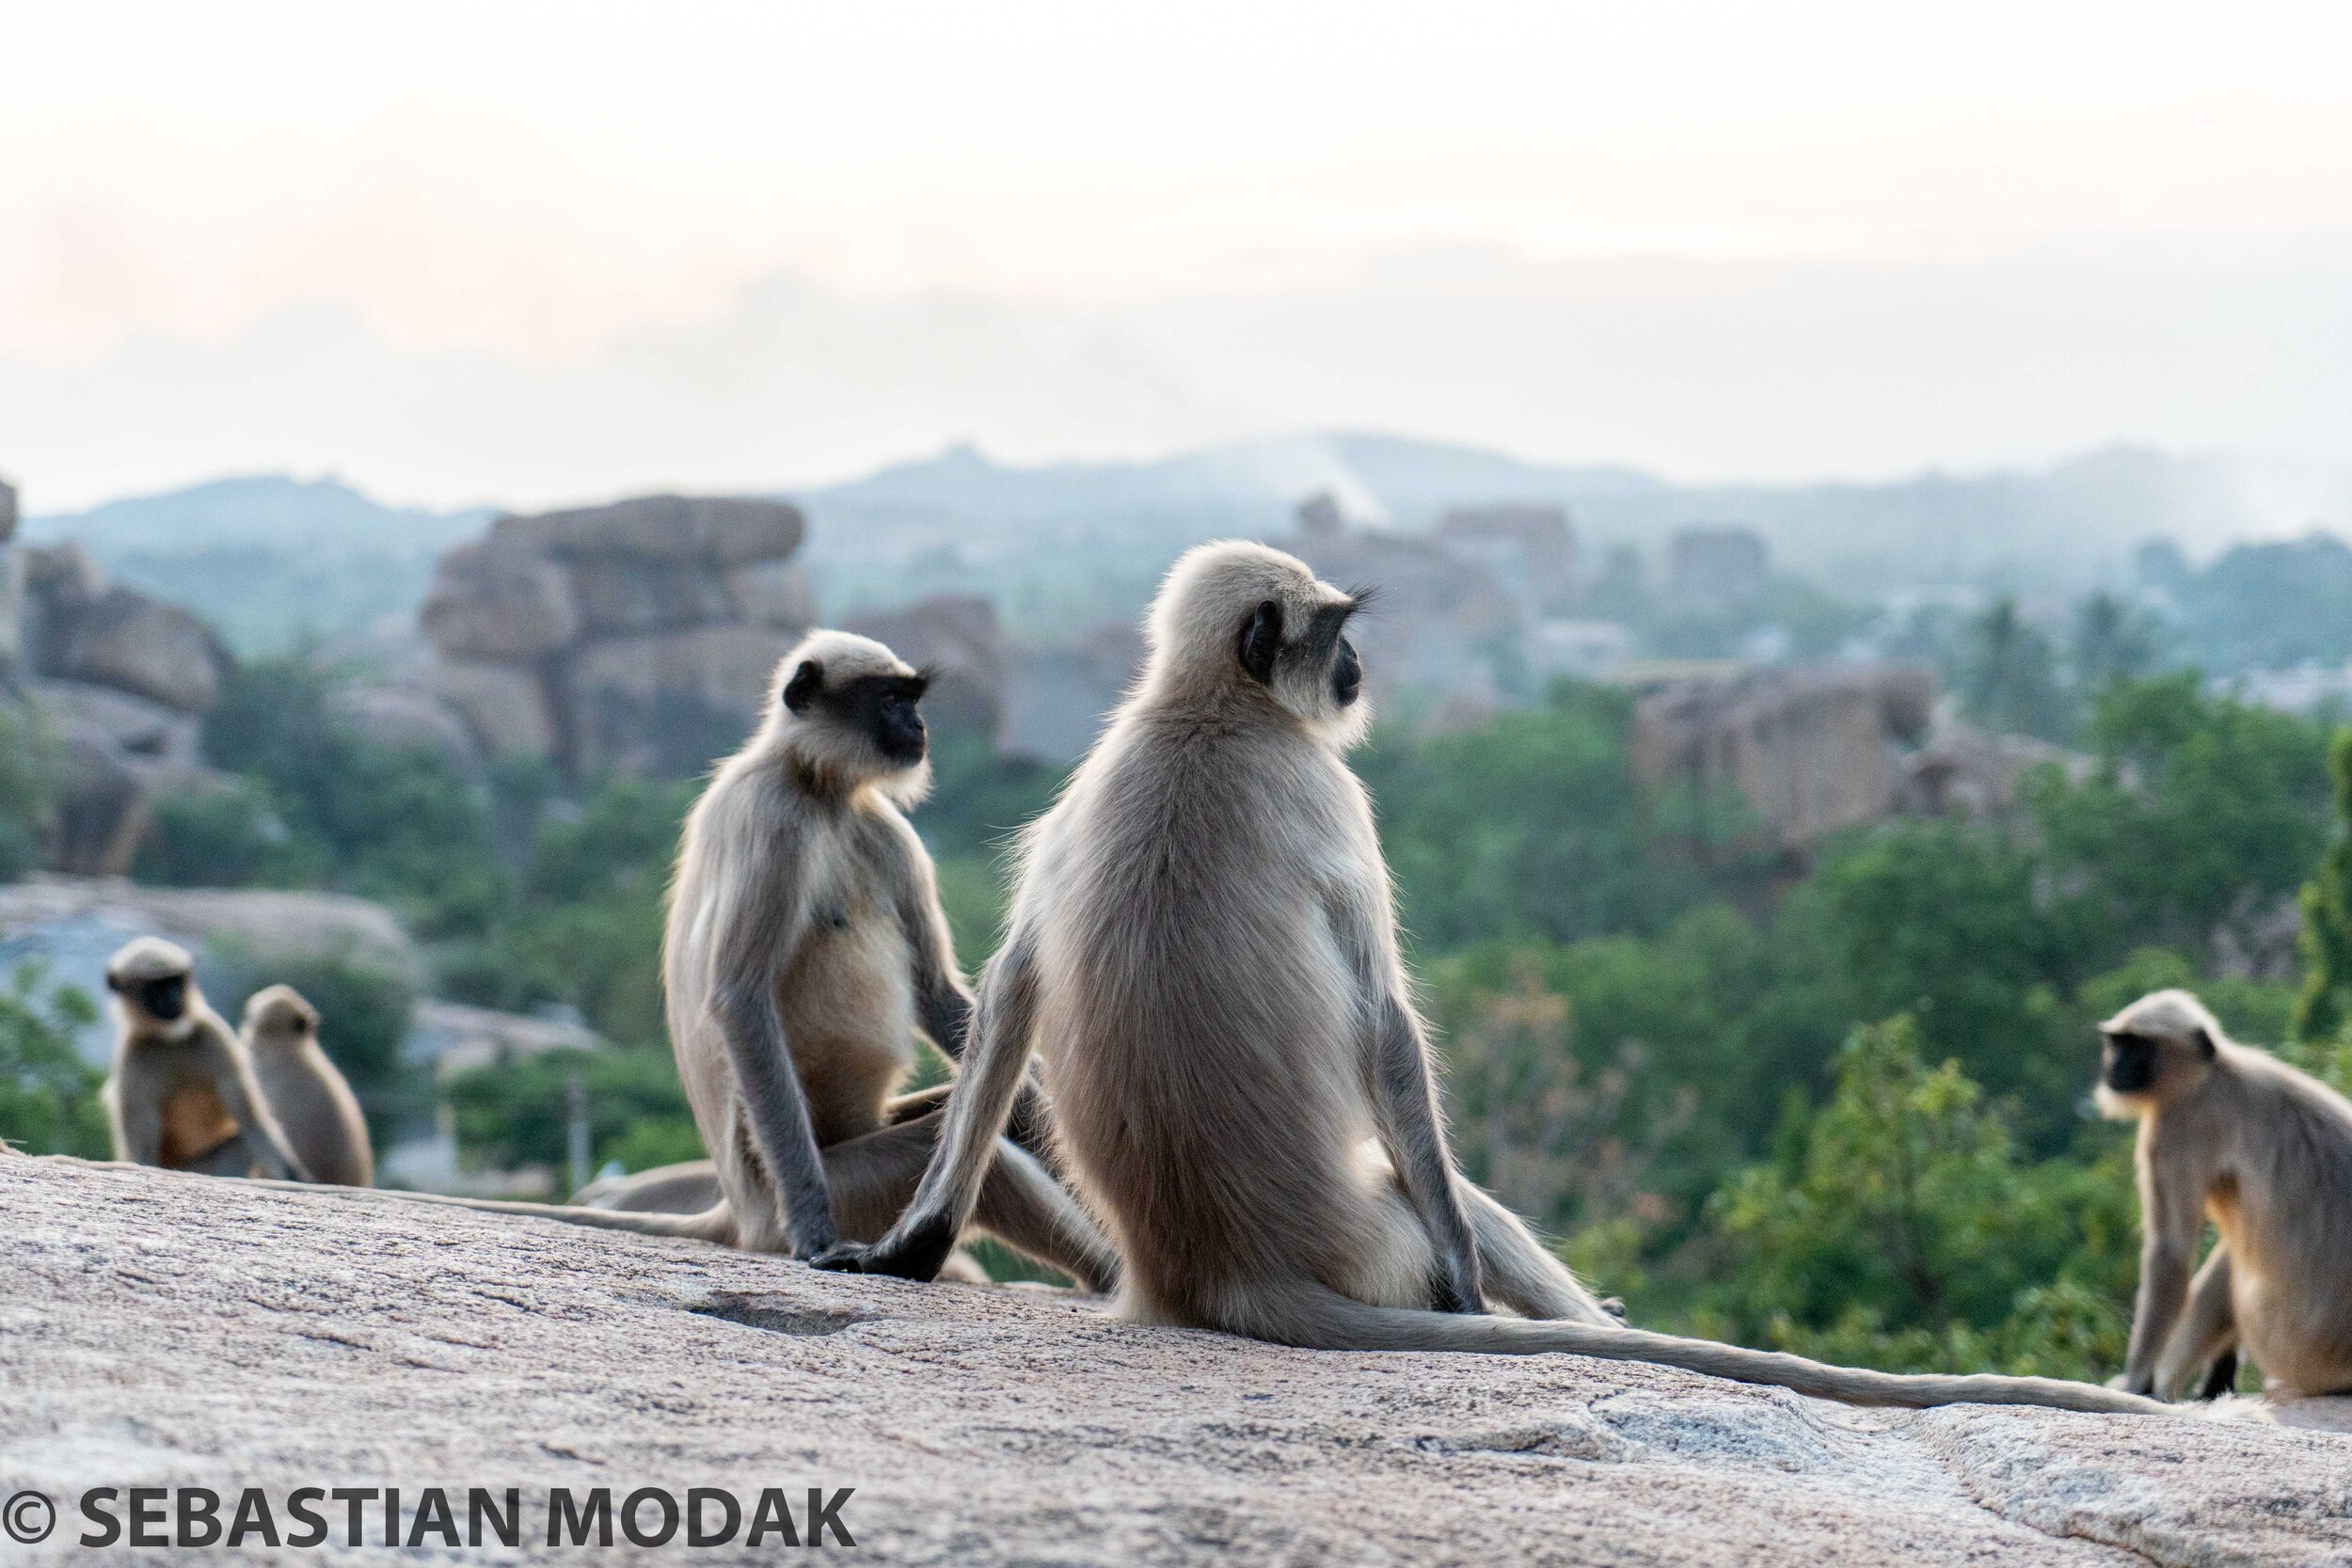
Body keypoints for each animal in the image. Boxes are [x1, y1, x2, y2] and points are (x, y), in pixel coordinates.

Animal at [103, 944, 308, 1175]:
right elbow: (144, 1157)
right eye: (156, 987)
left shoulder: (214, 1034)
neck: (172, 1040)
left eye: (175, 981)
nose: (173, 996)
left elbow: (252, 1121)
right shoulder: (132, 1057)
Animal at [269, 629, 1120, 1297]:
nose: (916, 726)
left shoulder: (880, 827)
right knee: (985, 1160)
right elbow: (740, 997)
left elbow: (940, 996)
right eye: (887, 698)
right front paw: (815, 1230)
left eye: (911, 698)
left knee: (999, 1115)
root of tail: (735, 1212)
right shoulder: (771, 821)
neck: (818, 787)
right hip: (847, 1182)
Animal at [818, 545, 2154, 1419]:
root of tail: (1211, 1266)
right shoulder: (1328, 795)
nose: (1356, 665)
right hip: (1377, 1231)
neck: (1205, 714)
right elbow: (1384, 1023)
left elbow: (1007, 985)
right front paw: (1472, 1285)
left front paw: (909, 1245)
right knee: (1458, 1190)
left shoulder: (1081, 793)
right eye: (1330, 630)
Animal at [2098, 991, 2352, 1401]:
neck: (2211, 1073)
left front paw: (2136, 1381)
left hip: (2290, 1347)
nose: (2115, 1067)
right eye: (2117, 1043)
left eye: (2137, 1046)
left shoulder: (2177, 1125)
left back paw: (2163, 1388)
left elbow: (2171, 1252)